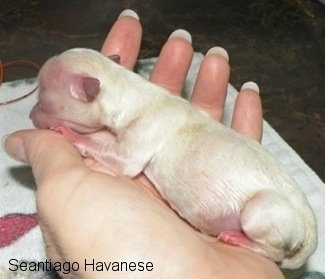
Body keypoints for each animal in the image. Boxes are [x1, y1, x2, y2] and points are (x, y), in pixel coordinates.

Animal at [29, 48, 316, 270]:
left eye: (43, 100)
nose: (30, 116)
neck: (128, 89)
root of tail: (310, 226)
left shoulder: (142, 135)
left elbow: (120, 159)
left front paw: (68, 133)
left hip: (265, 211)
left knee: (275, 249)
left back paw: (239, 239)